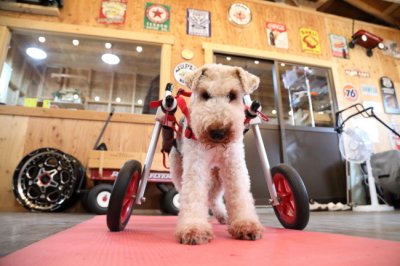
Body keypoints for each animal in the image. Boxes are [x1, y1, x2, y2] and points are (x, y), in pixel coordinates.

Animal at [170, 63, 264, 244]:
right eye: (205, 95)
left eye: (232, 95)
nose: (218, 133)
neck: (215, 148)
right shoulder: (196, 166)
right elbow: (194, 194)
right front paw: (194, 229)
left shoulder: (233, 165)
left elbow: (239, 193)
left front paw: (246, 225)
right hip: (179, 171)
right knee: (196, 195)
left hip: (217, 176)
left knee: (213, 198)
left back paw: (224, 216)